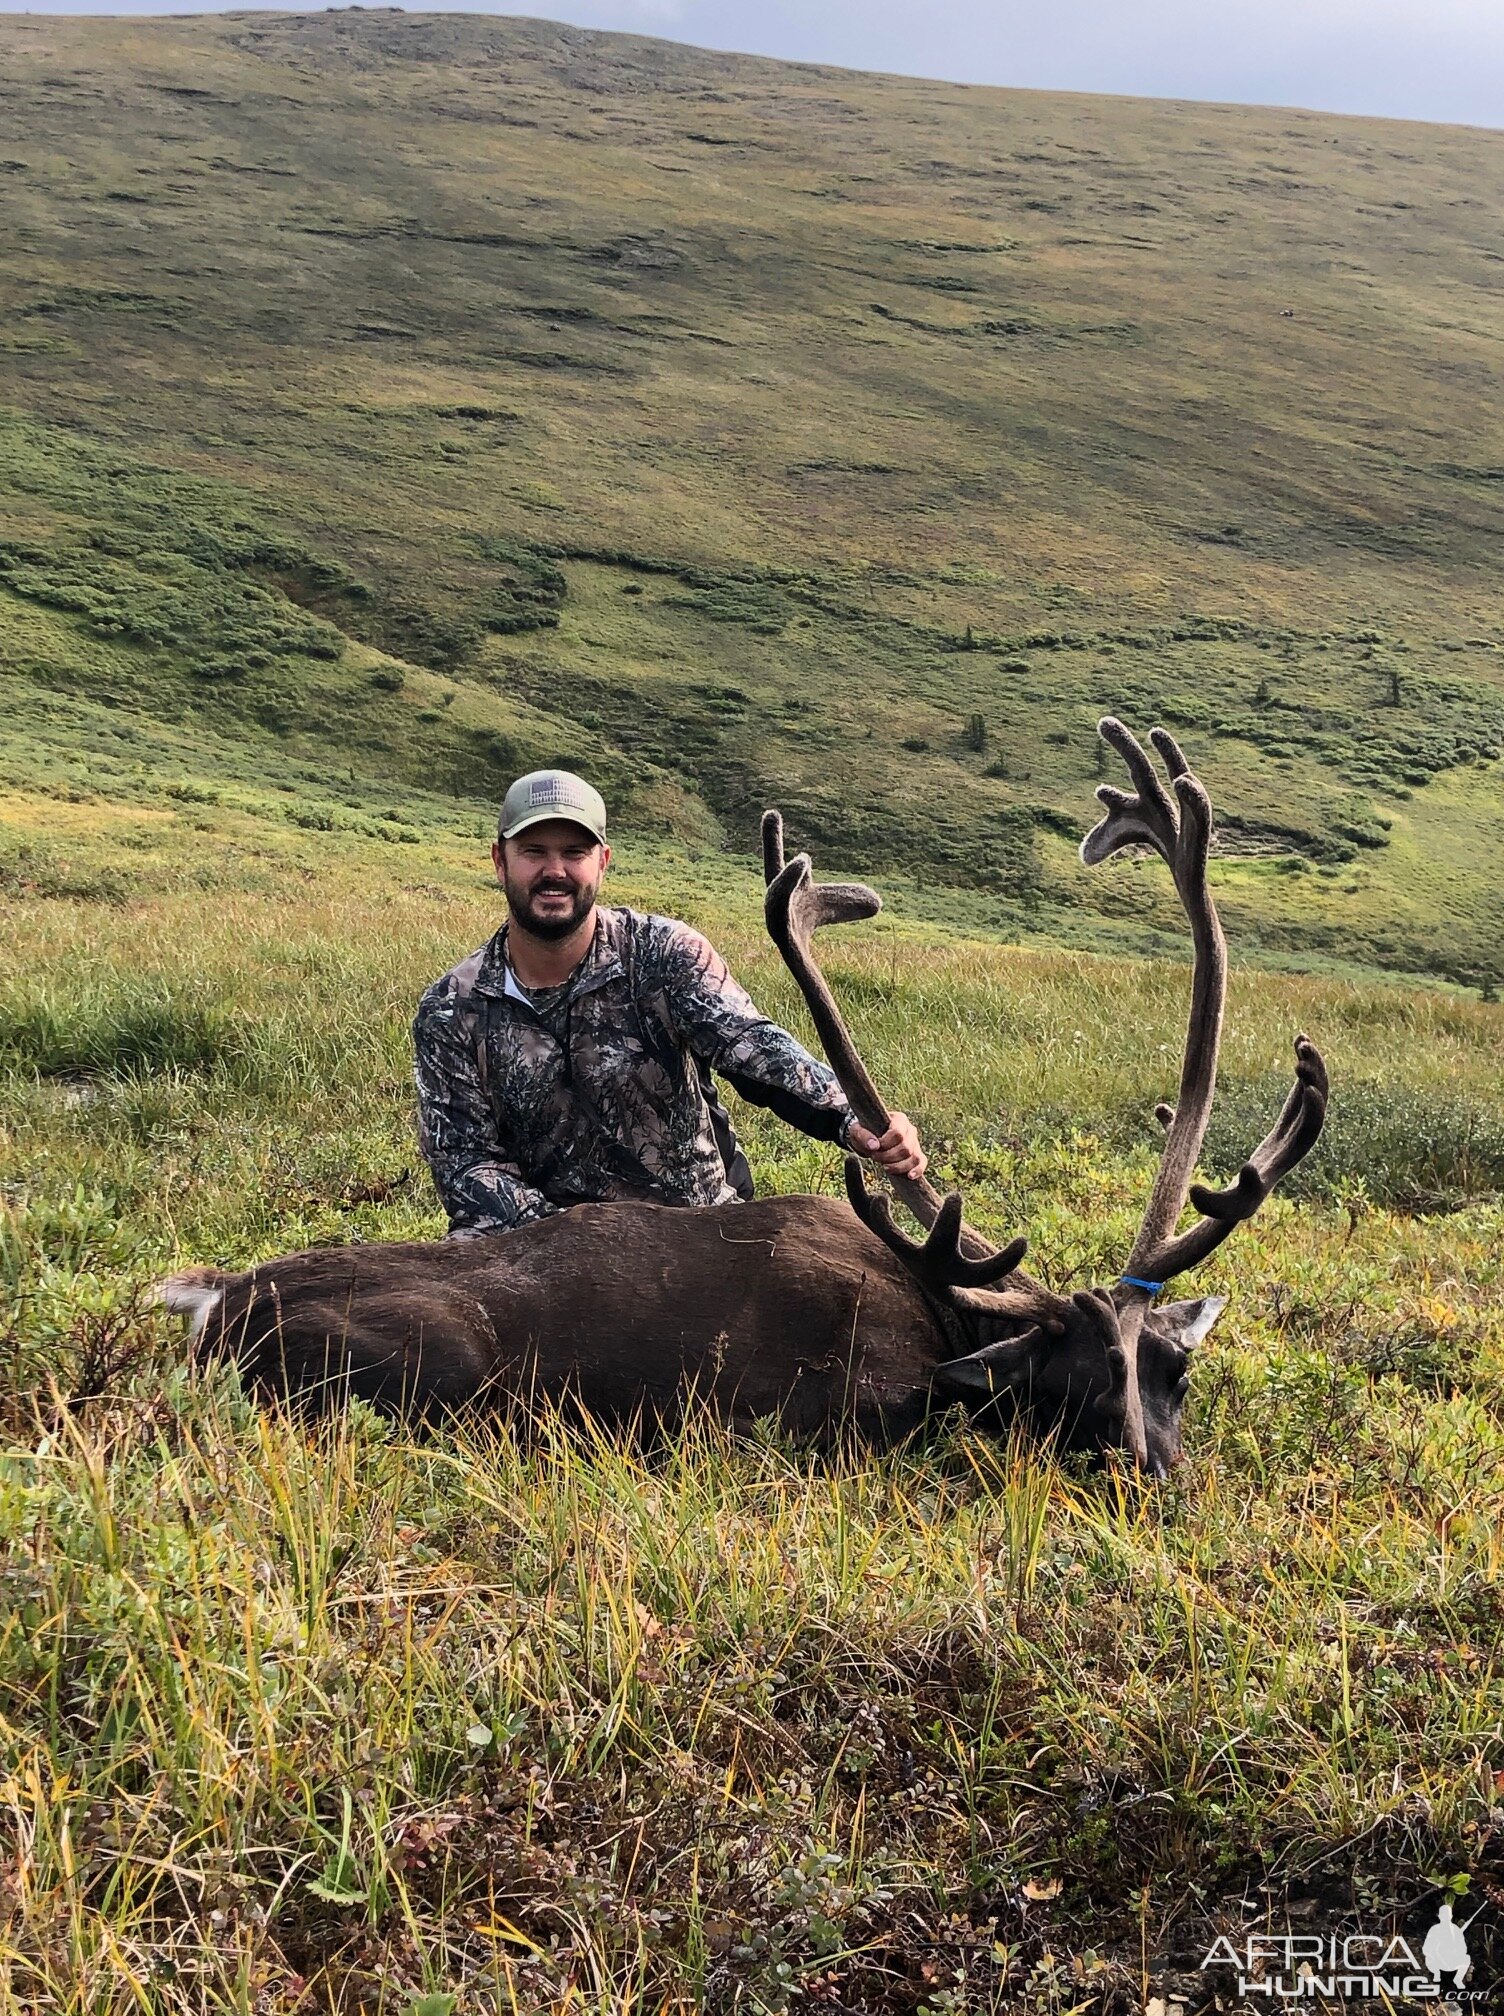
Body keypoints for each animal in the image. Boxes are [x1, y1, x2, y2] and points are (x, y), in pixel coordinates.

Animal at [158, 717, 1314, 1475]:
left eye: (1174, 1373)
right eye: (1068, 1376)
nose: (1153, 1479)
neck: (947, 1318)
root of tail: (216, 1305)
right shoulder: (834, 1417)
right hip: (432, 1381)